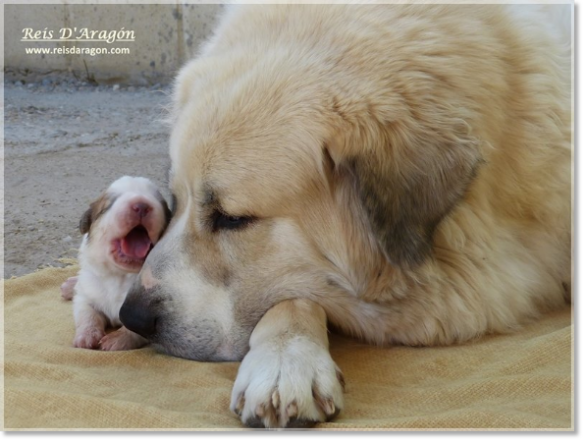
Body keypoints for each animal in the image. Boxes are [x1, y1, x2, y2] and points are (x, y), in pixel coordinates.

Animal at [62, 176, 170, 352]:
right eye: (111, 202)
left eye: (158, 200)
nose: (141, 205)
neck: (120, 275)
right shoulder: (86, 296)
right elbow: (87, 314)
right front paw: (86, 337)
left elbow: (134, 327)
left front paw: (116, 340)